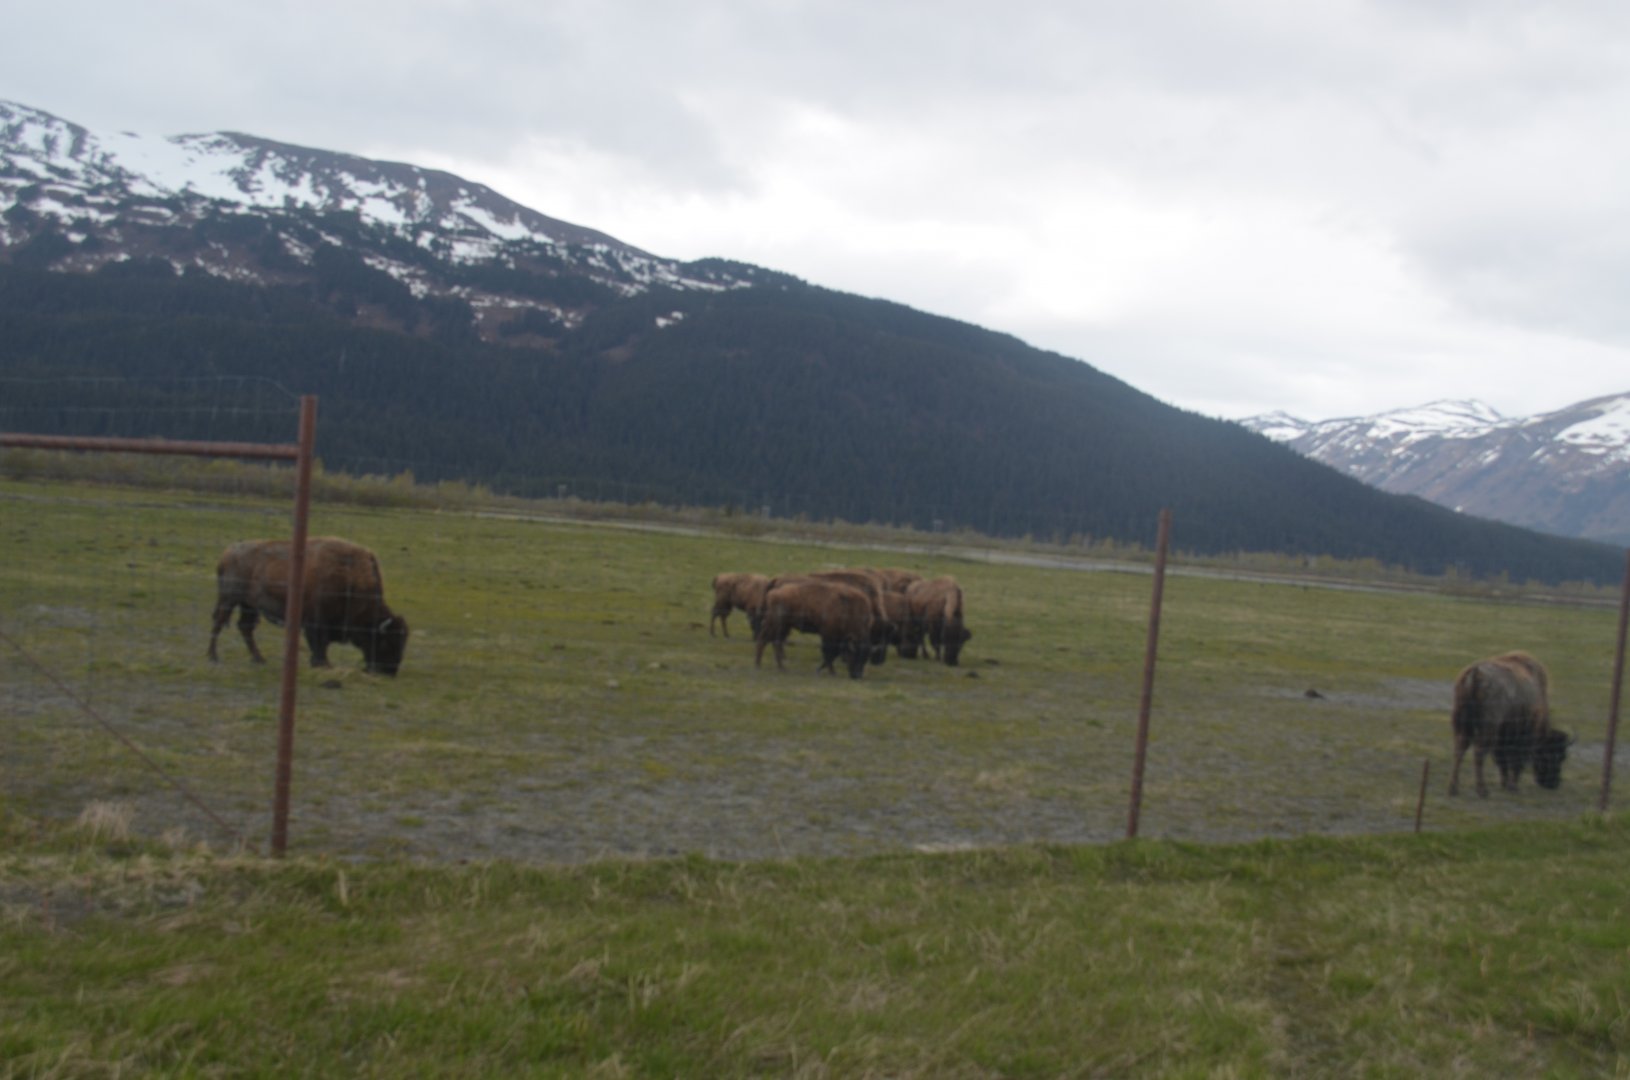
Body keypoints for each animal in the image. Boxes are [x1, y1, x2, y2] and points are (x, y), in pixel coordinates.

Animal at [208, 537, 410, 676]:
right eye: (385, 642)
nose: (389, 672)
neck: (351, 581)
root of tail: (227, 553)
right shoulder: (316, 622)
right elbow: (320, 643)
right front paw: (324, 664)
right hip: (229, 600)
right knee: (218, 623)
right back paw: (213, 657)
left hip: (249, 606)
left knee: (245, 628)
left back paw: (259, 659)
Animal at [1448, 651, 1570, 797]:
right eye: (1555, 755)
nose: (1553, 784)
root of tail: (1475, 673)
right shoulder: (1524, 736)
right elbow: (1516, 762)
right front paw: (1513, 786)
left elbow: (1503, 761)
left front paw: (1505, 784)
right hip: (1487, 729)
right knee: (1479, 753)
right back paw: (1482, 791)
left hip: (1462, 725)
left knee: (1459, 751)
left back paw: (1453, 789)